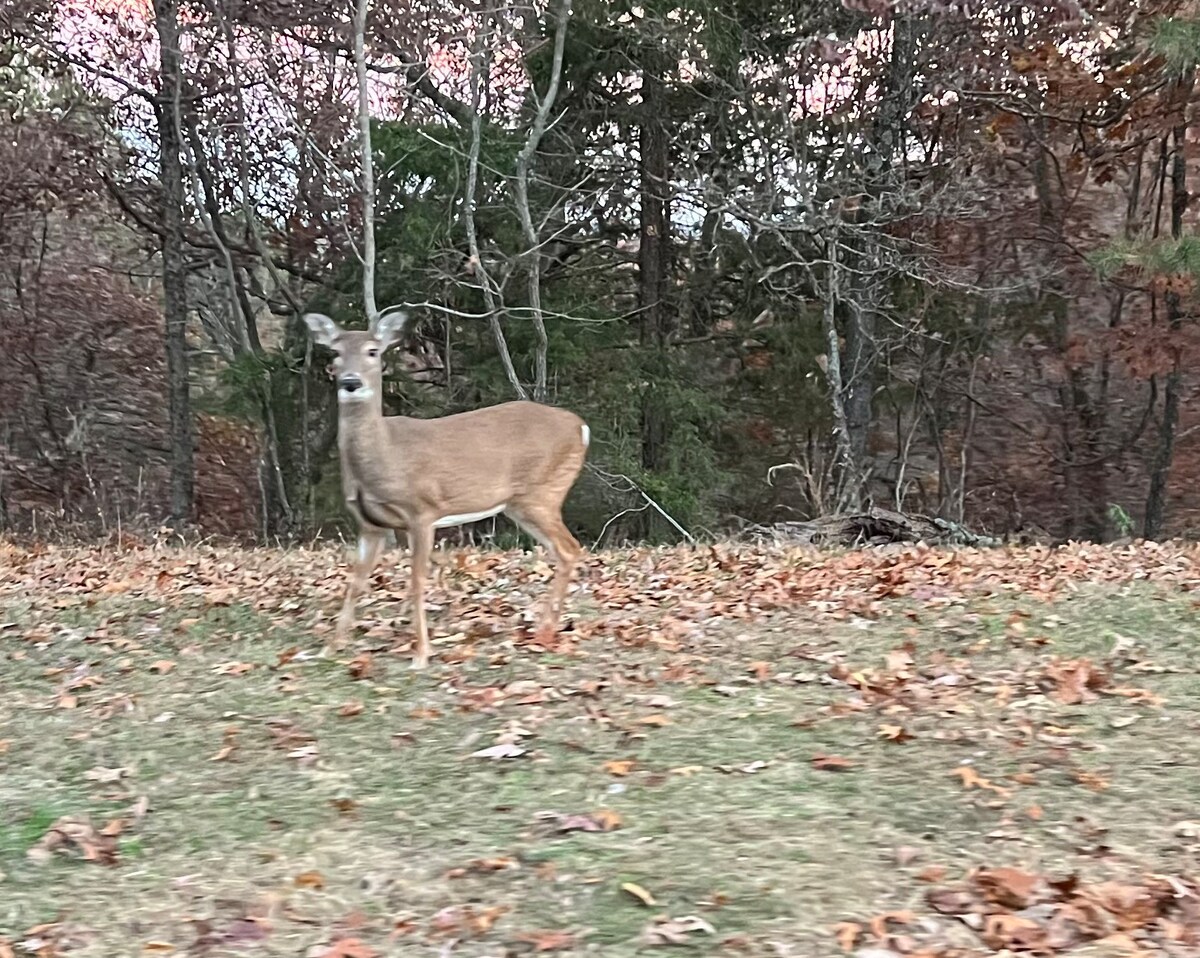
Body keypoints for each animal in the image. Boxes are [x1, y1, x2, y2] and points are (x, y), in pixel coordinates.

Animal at [304, 312, 590, 672]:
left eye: (372, 351)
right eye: (335, 352)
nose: (350, 382)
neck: (385, 455)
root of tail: (581, 427)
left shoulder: (422, 511)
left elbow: (416, 581)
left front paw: (421, 654)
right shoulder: (369, 524)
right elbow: (355, 582)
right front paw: (331, 647)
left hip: (542, 492)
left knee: (569, 548)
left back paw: (546, 630)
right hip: (521, 504)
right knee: (562, 551)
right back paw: (545, 627)